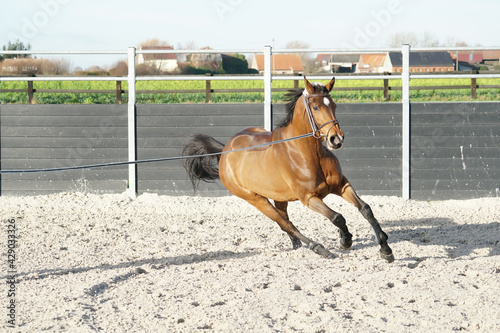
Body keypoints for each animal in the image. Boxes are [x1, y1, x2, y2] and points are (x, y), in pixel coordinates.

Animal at [184, 76, 394, 262]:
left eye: (334, 105)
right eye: (316, 107)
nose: (336, 139)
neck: (307, 153)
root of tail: (225, 150)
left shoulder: (341, 185)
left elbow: (366, 209)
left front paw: (385, 249)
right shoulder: (309, 198)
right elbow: (337, 217)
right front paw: (345, 240)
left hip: (279, 197)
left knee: (285, 220)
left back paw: (296, 245)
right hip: (256, 199)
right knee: (285, 223)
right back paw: (319, 248)